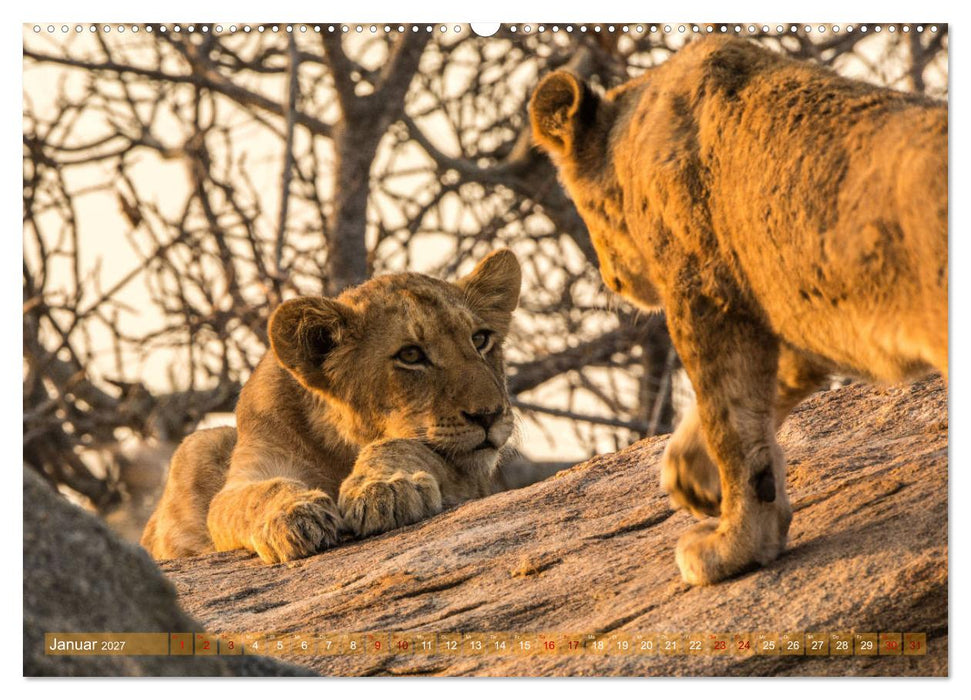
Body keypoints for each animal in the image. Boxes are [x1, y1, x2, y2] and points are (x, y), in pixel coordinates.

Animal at [141, 249, 522, 563]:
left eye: (480, 339)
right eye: (411, 355)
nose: (489, 415)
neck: (338, 447)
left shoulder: (468, 478)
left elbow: (402, 445)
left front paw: (384, 488)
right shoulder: (253, 466)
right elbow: (250, 496)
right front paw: (294, 515)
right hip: (197, 446)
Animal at [530, 36, 947, 585]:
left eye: (585, 208)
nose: (609, 277)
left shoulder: (704, 295)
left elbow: (729, 422)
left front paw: (733, 547)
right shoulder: (785, 311)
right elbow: (756, 407)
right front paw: (692, 478)